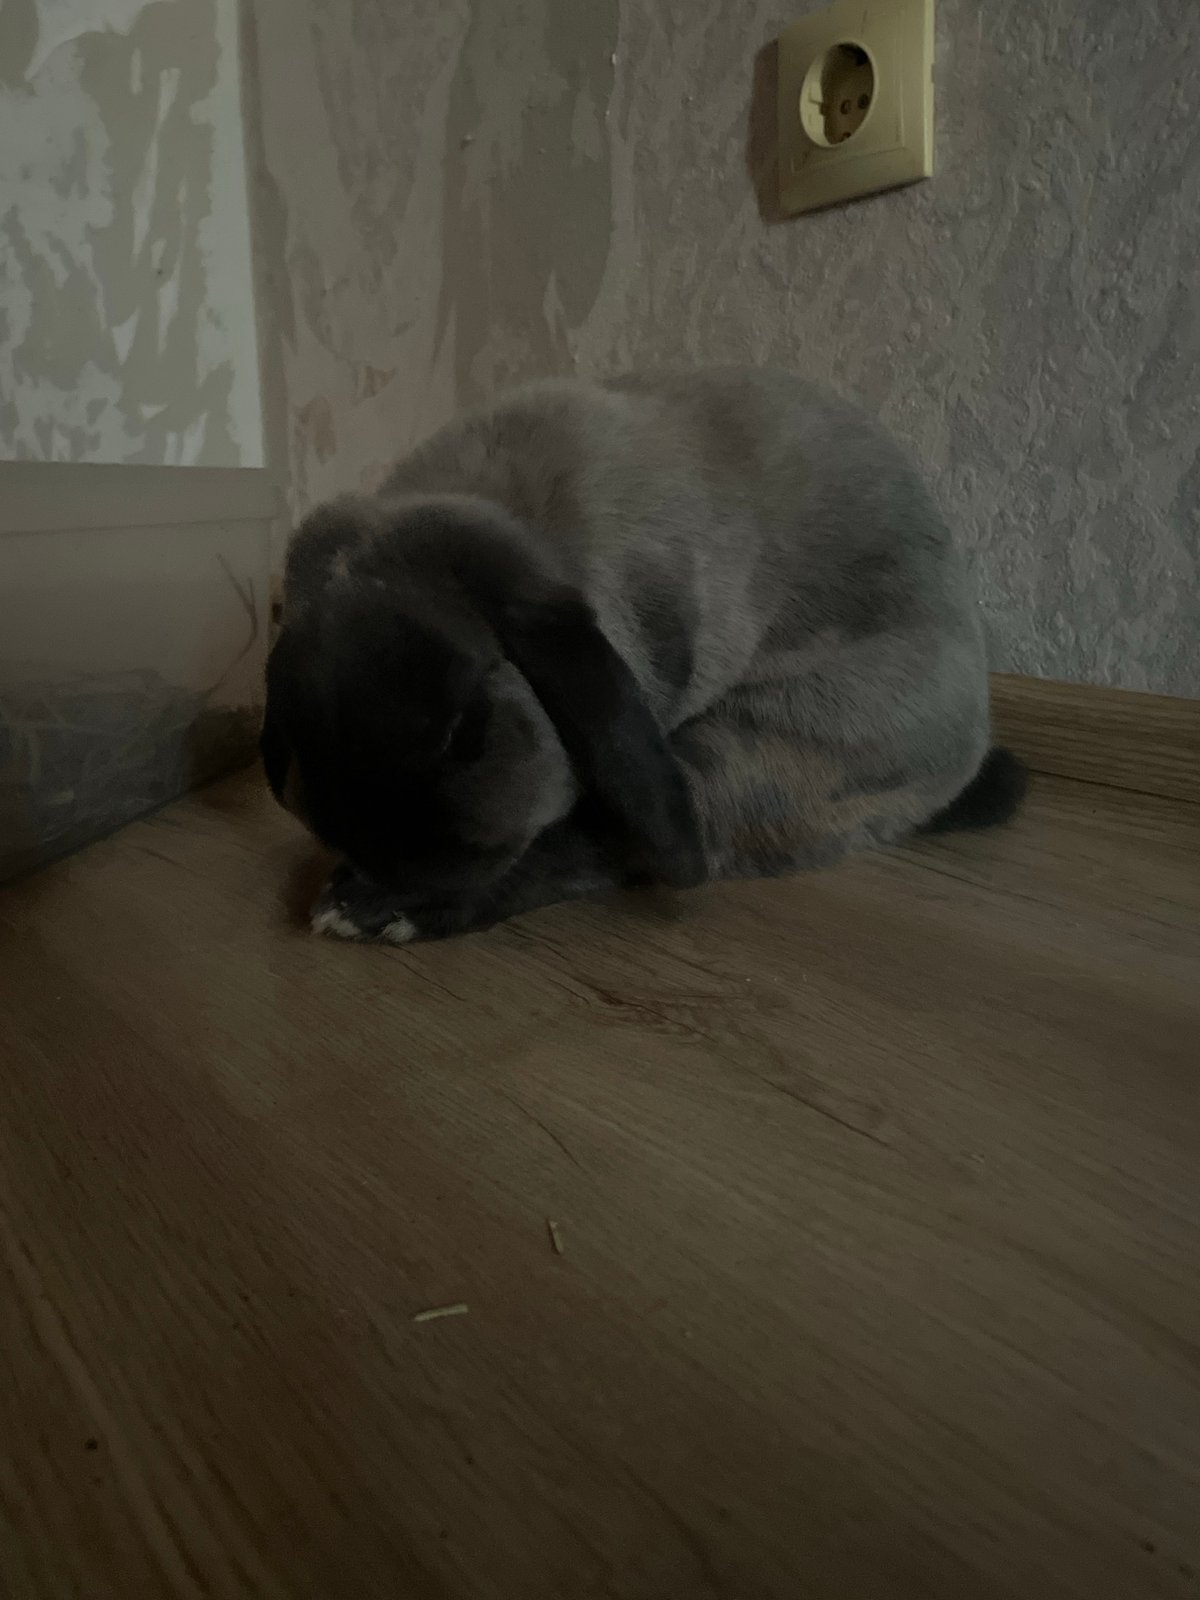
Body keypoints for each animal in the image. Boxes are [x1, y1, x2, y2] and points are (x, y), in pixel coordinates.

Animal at [261, 367, 1024, 944]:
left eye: (467, 730)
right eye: (300, 734)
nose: (395, 863)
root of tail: (966, 749)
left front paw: (385, 898)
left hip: (757, 749)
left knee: (611, 846)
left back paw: (377, 910)